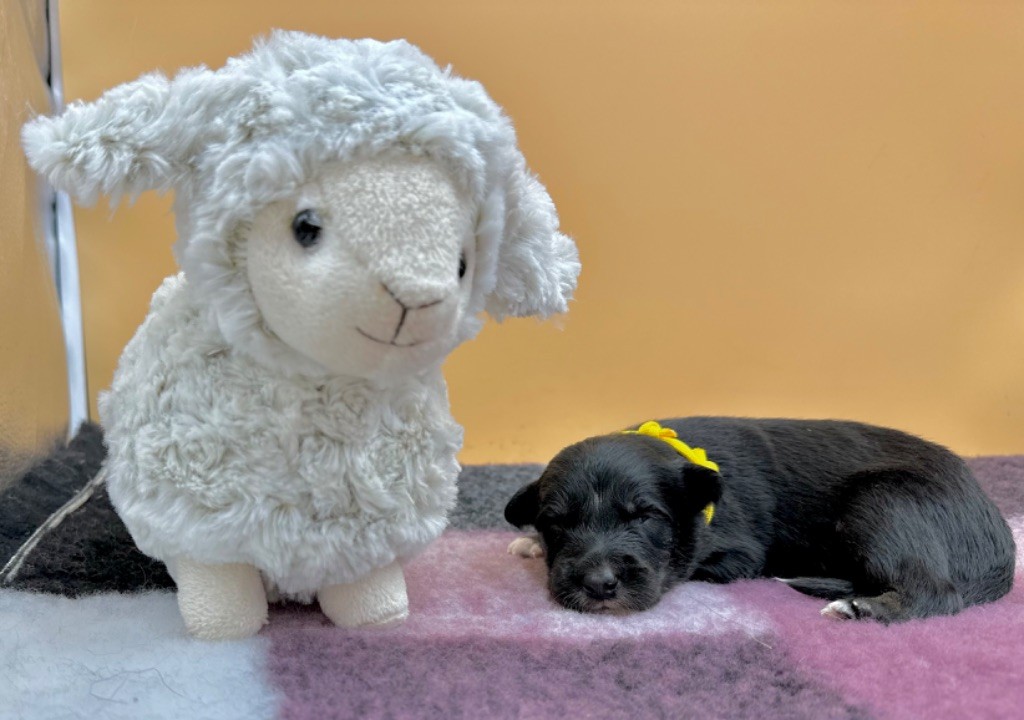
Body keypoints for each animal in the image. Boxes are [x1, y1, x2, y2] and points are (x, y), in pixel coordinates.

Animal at [504, 418, 1015, 622]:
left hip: (883, 501)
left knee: (936, 591)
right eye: (556, 523)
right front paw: (530, 543)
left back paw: (862, 608)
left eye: (646, 516)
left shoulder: (740, 554)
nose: (598, 584)